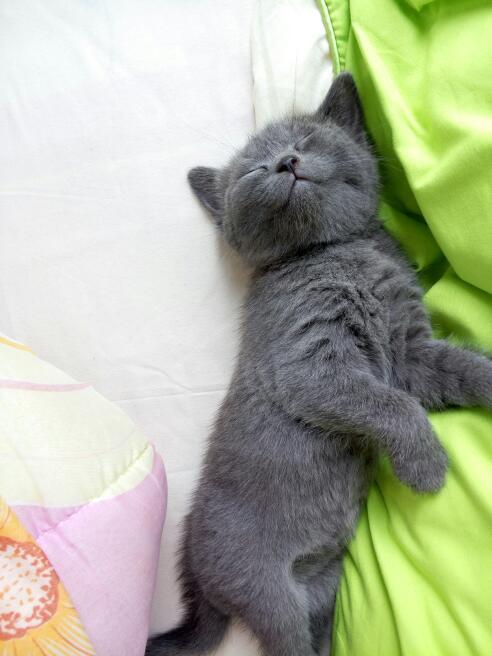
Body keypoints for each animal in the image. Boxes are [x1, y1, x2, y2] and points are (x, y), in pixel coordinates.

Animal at [147, 73, 492, 656]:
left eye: (305, 141)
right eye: (254, 170)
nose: (286, 162)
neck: (335, 250)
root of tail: (196, 562)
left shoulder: (411, 352)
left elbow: (454, 370)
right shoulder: (311, 365)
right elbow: (392, 404)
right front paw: (426, 467)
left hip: (325, 588)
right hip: (265, 590)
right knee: (285, 640)